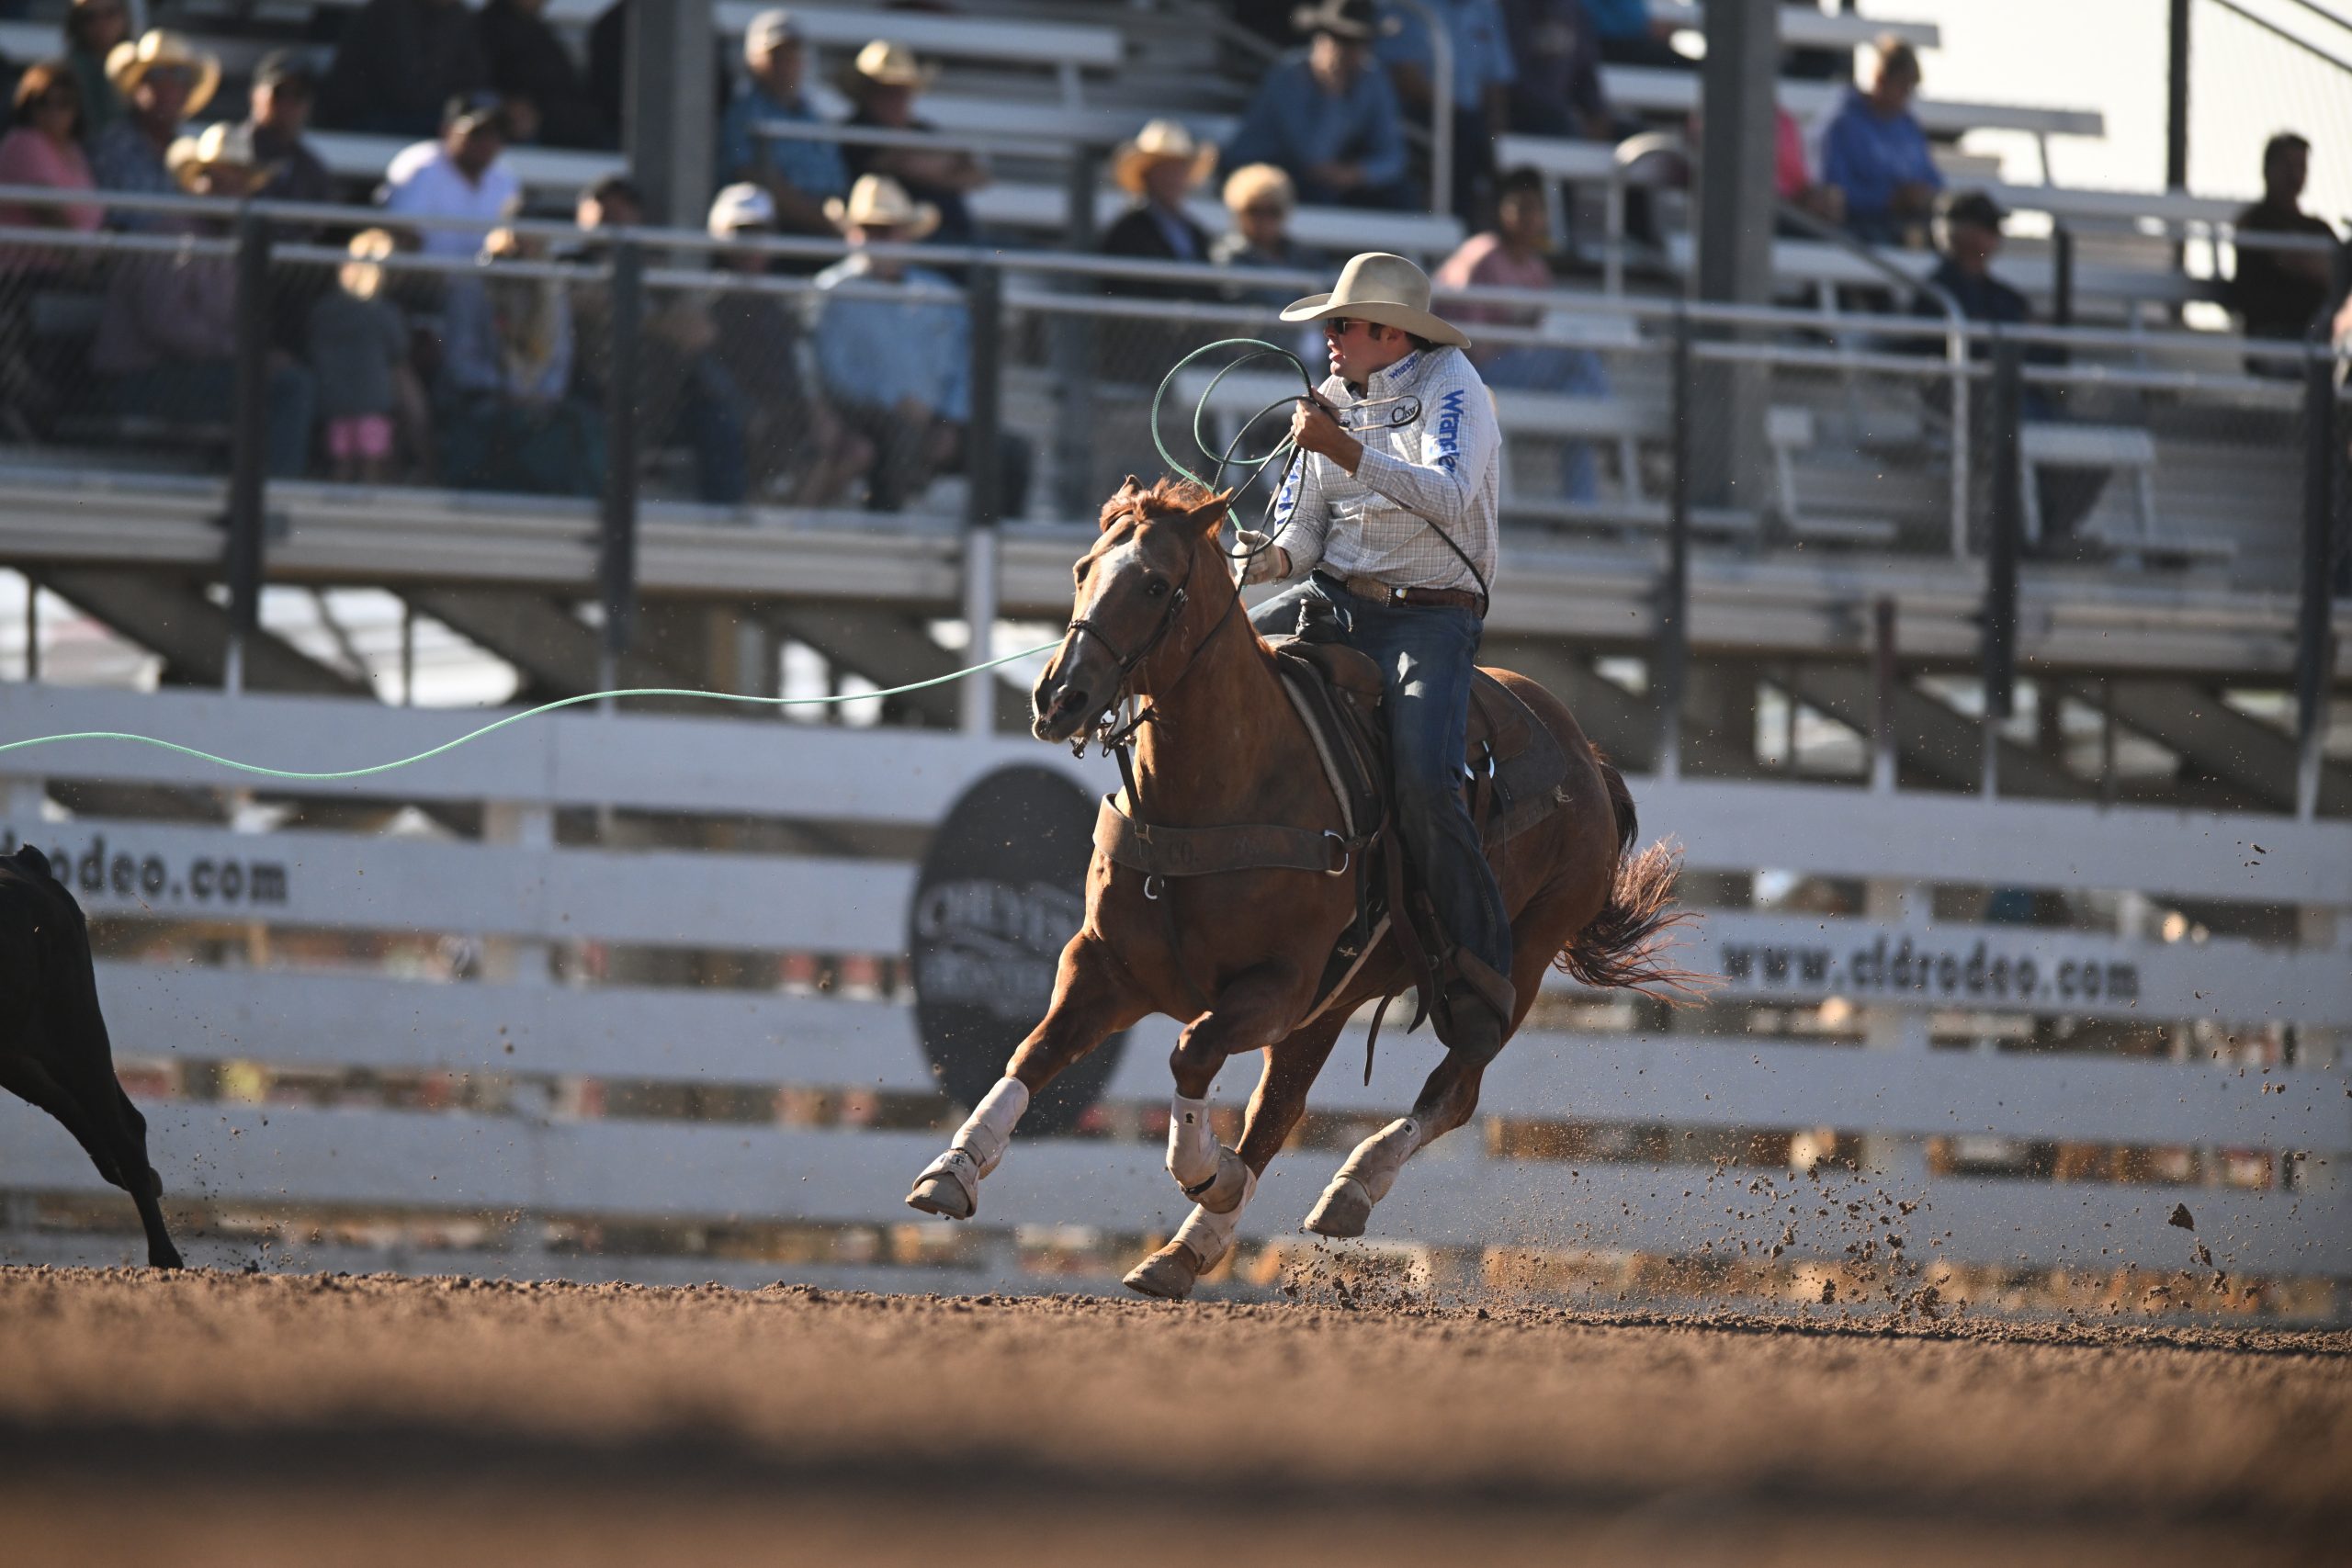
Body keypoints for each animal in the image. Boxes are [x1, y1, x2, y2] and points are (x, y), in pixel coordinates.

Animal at [903, 474, 1693, 1297]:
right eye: (1083, 568)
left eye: (1154, 583)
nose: (1058, 698)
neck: (1220, 788)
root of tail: (1588, 755)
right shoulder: (1105, 964)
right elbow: (1036, 1050)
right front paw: (952, 1169)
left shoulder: (1275, 988)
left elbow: (1191, 1050)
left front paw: (1206, 1169)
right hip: (1330, 1006)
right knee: (1280, 1112)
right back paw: (1182, 1253)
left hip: (1523, 958)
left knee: (1454, 1085)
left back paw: (1349, 1185)